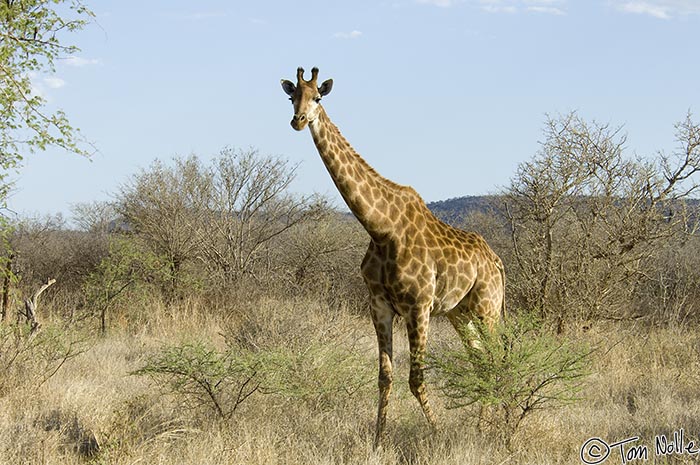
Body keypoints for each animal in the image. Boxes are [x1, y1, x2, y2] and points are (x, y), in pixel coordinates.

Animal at [282, 67, 506, 444]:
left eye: (318, 97)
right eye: (291, 96)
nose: (298, 121)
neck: (381, 228)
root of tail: (497, 262)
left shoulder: (419, 306)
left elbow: (416, 379)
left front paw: (438, 435)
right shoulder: (379, 305)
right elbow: (384, 378)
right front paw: (377, 440)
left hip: (487, 307)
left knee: (496, 359)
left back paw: (497, 429)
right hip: (459, 312)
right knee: (481, 361)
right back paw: (484, 427)